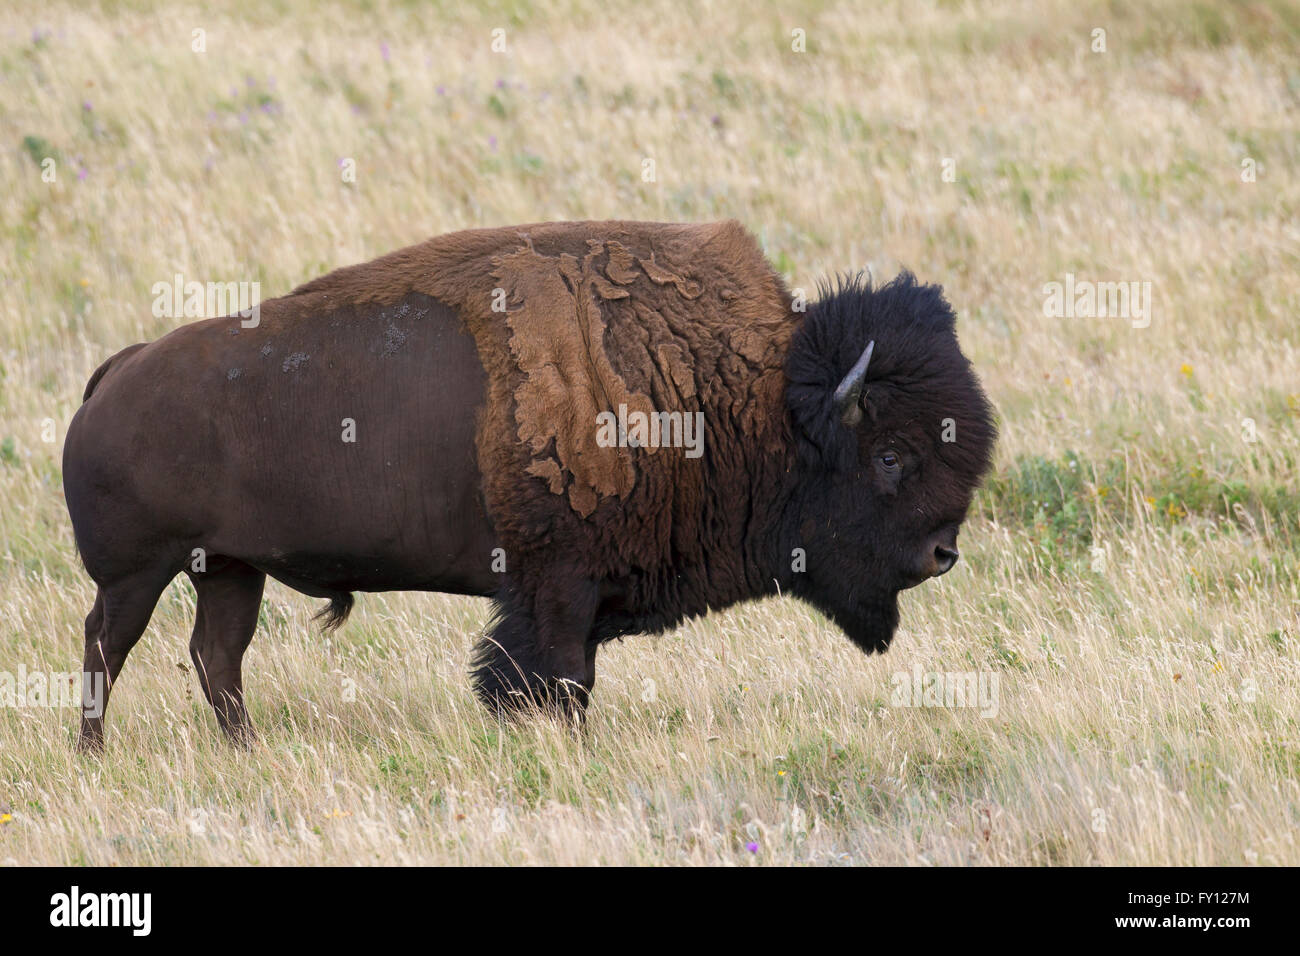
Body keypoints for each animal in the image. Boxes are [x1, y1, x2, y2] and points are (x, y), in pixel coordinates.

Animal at [62, 219, 996, 750]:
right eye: (889, 456)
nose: (942, 552)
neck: (740, 400)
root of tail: (116, 372)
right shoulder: (556, 592)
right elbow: (551, 680)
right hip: (139, 571)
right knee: (109, 644)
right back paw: (93, 751)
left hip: (227, 569)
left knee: (215, 655)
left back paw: (244, 750)